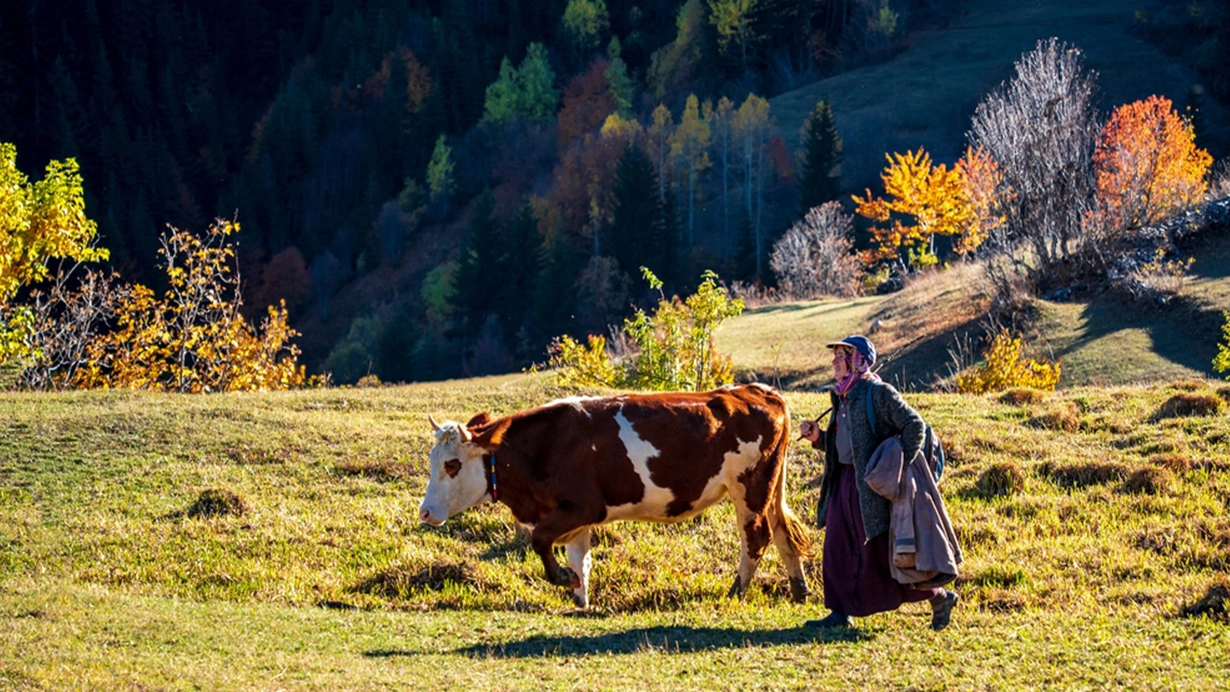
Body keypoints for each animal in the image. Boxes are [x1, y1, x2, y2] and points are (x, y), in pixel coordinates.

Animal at [418, 381, 811, 609]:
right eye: (433, 459)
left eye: (452, 464)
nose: (424, 512)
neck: (544, 447)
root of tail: (758, 390)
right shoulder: (574, 520)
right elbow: (580, 560)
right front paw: (580, 600)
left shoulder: (582, 507)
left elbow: (540, 539)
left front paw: (565, 580)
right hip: (769, 486)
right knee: (781, 533)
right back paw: (800, 591)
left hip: (750, 486)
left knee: (756, 537)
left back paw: (736, 592)